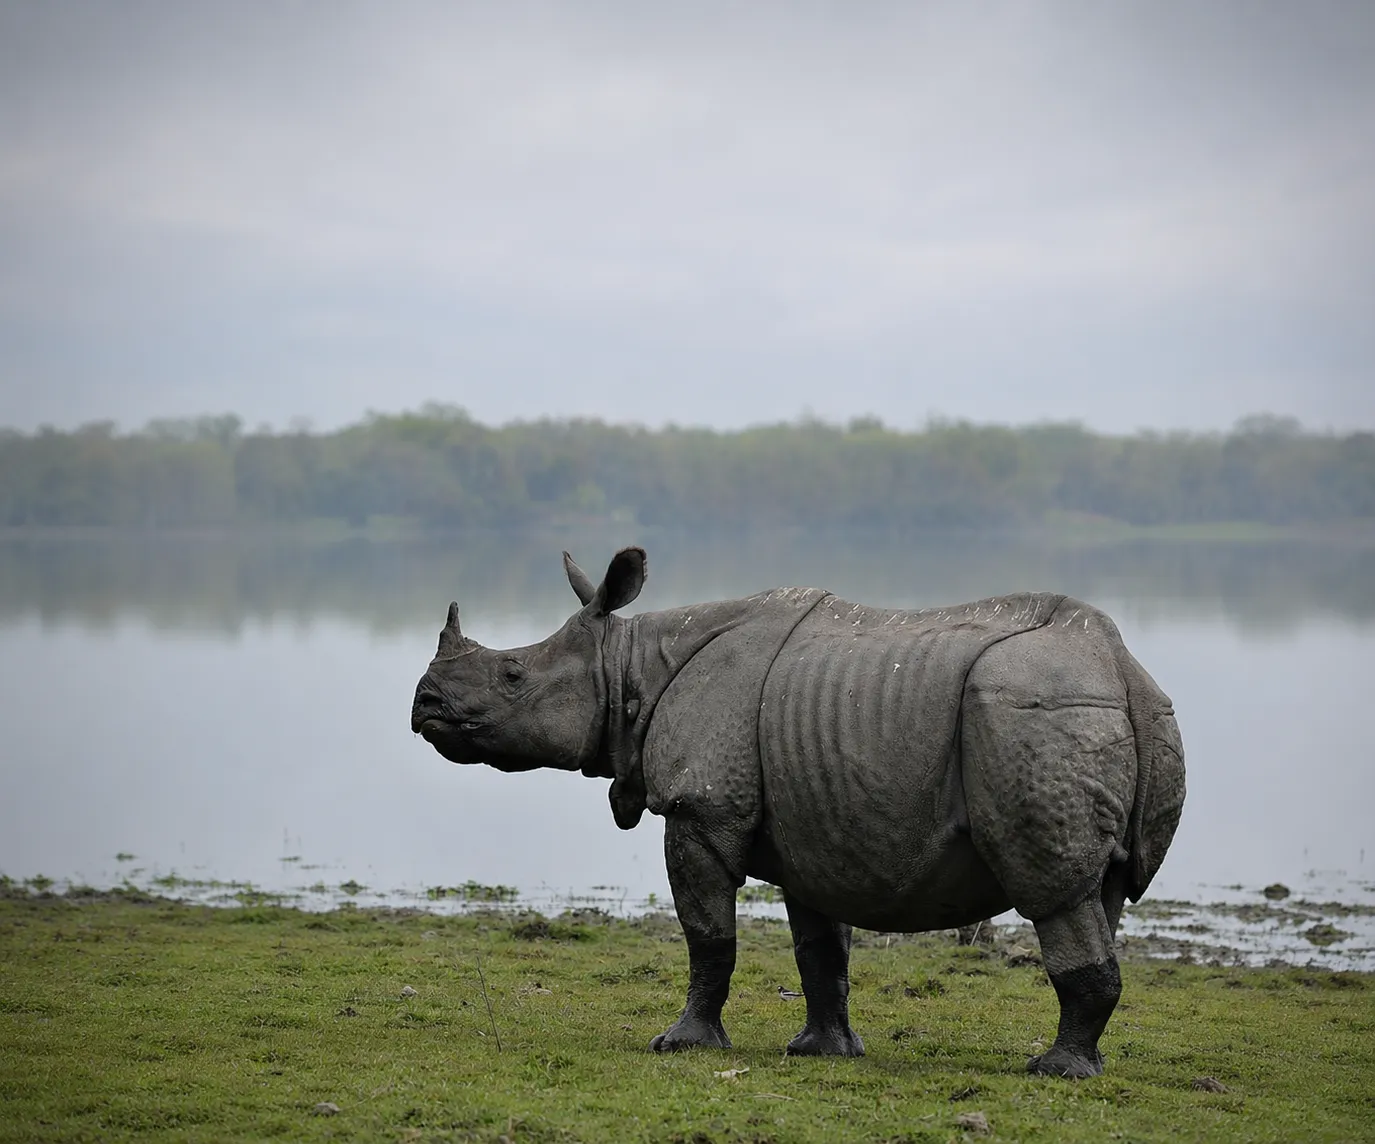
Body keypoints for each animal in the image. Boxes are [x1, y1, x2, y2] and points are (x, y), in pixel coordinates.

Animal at [410, 547, 1185, 1078]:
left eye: (512, 675)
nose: (424, 706)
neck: (627, 666)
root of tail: (1119, 664)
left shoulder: (699, 810)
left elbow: (707, 936)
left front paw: (680, 1045)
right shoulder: (817, 821)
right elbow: (819, 949)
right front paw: (821, 1052)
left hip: (1032, 711)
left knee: (1055, 892)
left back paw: (1053, 1073)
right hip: (1103, 712)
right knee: (1101, 890)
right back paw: (1077, 1063)